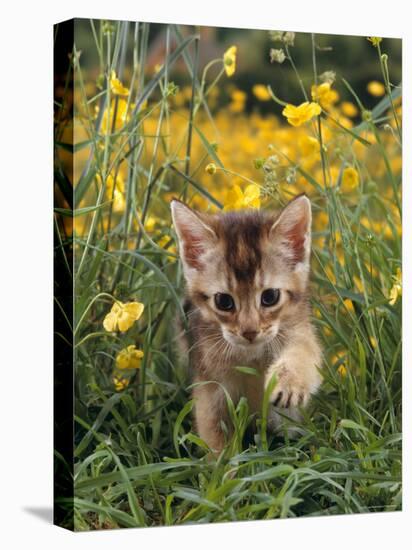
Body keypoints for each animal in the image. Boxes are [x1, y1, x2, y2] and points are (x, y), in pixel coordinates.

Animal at [171, 196, 322, 454]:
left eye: (270, 296)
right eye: (223, 301)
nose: (249, 331)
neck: (251, 355)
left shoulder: (300, 330)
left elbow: (304, 353)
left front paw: (289, 382)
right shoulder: (210, 393)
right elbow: (217, 442)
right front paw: (225, 465)